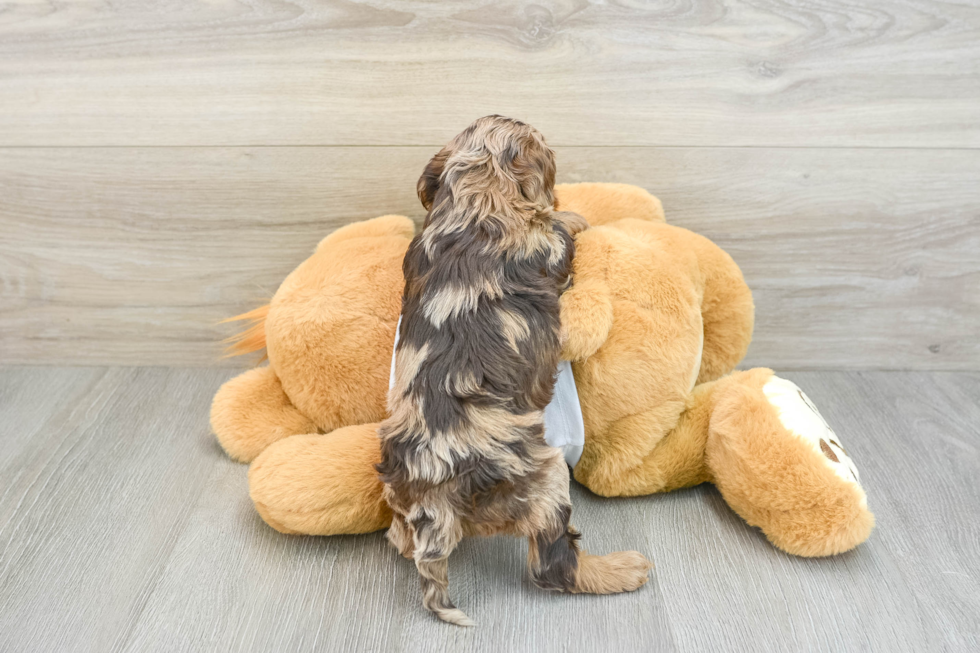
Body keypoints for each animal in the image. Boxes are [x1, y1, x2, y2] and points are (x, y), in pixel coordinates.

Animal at [376, 114, 652, 624]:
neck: (474, 199)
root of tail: (433, 494)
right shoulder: (548, 245)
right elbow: (560, 226)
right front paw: (576, 216)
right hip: (545, 479)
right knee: (552, 565)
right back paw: (622, 569)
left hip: (397, 486)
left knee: (398, 537)